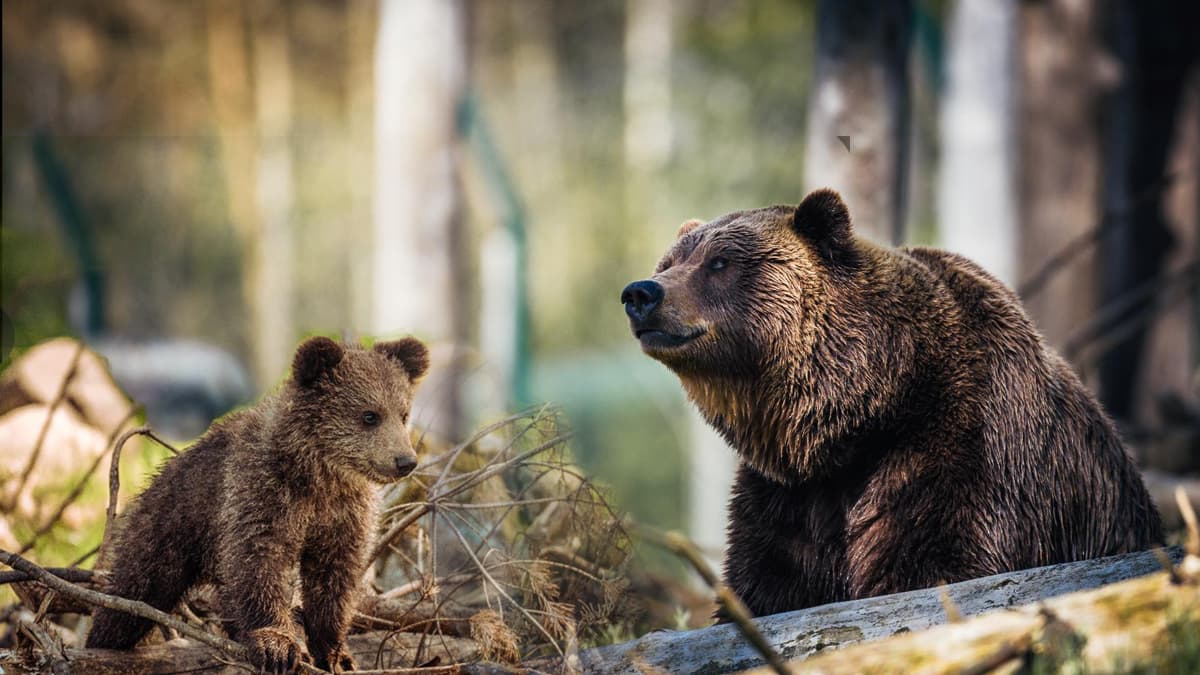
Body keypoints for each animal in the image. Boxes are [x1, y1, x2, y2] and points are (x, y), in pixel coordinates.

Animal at [624, 187, 1156, 614]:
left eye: (720, 262)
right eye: (669, 263)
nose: (640, 292)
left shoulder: (963, 446)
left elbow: (934, 562)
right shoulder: (789, 497)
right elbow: (768, 584)